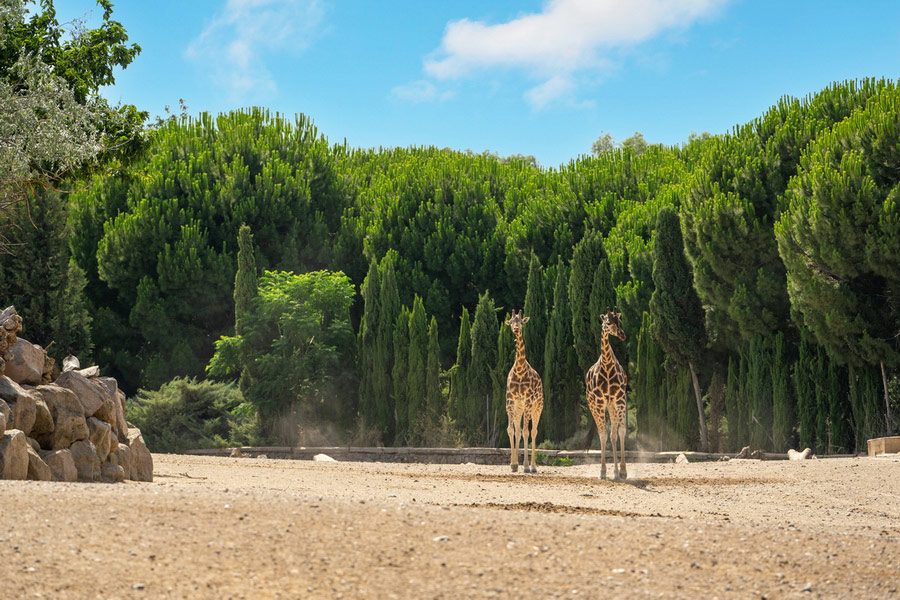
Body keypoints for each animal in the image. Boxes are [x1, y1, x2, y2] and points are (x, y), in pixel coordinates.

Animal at [502, 310, 544, 474]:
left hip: (537, 407)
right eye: (511, 321)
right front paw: (513, 465)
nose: (515, 329)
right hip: (519, 408)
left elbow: (527, 432)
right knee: (519, 430)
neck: (520, 370)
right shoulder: (510, 401)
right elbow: (511, 430)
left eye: (520, 322)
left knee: (533, 431)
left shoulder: (528, 401)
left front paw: (525, 466)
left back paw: (533, 466)